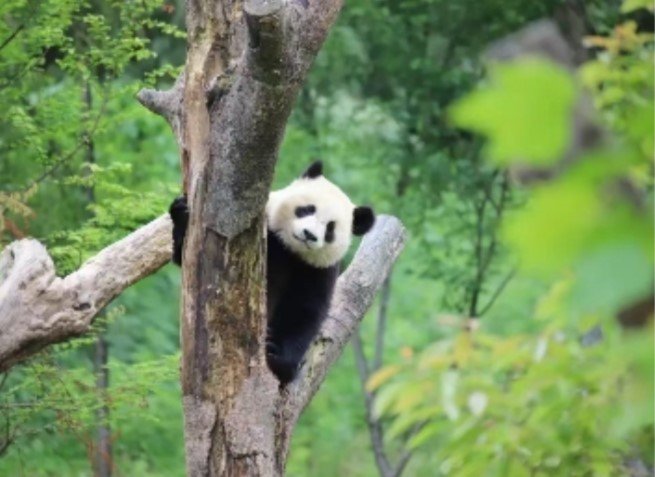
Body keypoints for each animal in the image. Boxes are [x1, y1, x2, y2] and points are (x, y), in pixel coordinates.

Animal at [169, 161, 374, 384]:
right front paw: (181, 213)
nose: (309, 234)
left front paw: (278, 358)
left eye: (330, 228)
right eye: (307, 210)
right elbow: (186, 255)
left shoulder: (317, 269)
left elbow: (305, 310)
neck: (290, 249)